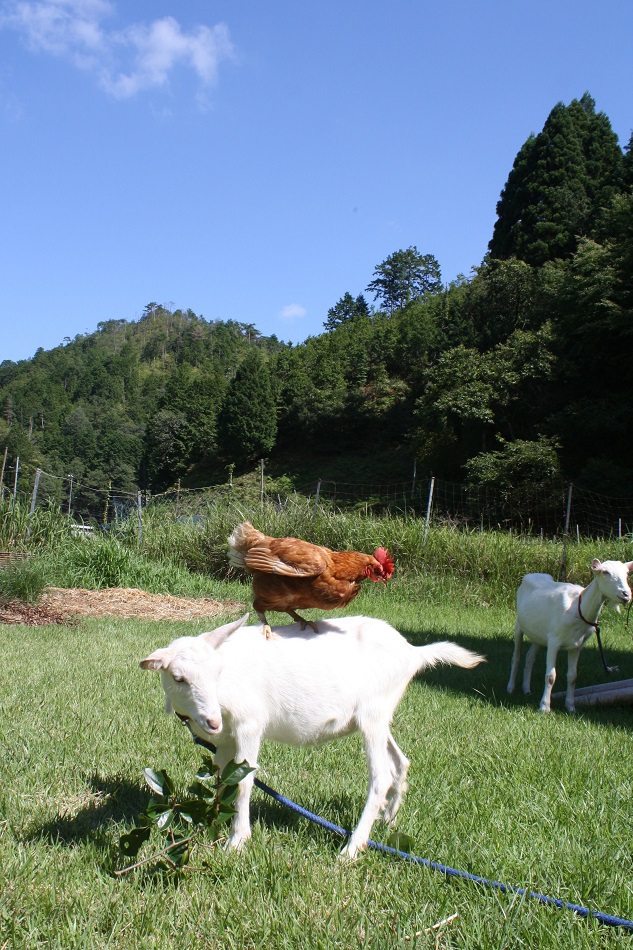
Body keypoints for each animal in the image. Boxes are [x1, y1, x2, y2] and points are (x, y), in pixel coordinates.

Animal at [139, 616, 484, 864]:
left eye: (217, 671)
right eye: (178, 678)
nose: (212, 721)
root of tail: (413, 653)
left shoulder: (249, 724)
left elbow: (245, 781)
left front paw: (238, 841)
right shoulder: (223, 740)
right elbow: (224, 779)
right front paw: (214, 820)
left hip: (373, 712)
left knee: (381, 774)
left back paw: (352, 849)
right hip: (381, 713)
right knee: (400, 762)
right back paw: (388, 822)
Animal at [508, 556, 632, 712]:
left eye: (627, 573)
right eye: (605, 572)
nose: (626, 594)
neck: (577, 608)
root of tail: (530, 575)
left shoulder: (576, 645)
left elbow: (572, 676)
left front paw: (570, 706)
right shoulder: (554, 641)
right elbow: (550, 676)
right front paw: (544, 707)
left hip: (538, 634)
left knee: (530, 657)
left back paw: (526, 689)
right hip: (519, 625)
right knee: (516, 656)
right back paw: (511, 687)